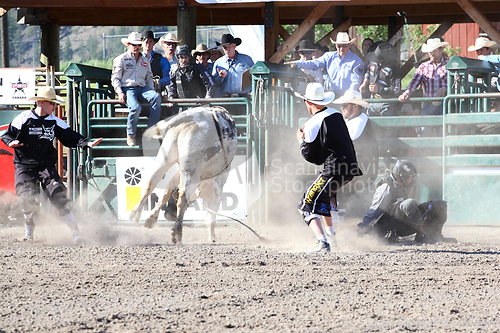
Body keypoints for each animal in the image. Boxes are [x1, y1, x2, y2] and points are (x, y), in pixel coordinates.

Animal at [129, 106, 238, 244]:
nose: (169, 214)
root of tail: (197, 116)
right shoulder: (217, 188)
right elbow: (211, 216)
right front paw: (212, 237)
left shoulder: (176, 176)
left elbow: (165, 193)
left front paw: (151, 219)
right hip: (192, 170)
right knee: (183, 198)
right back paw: (177, 234)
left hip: (165, 157)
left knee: (151, 183)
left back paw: (136, 212)